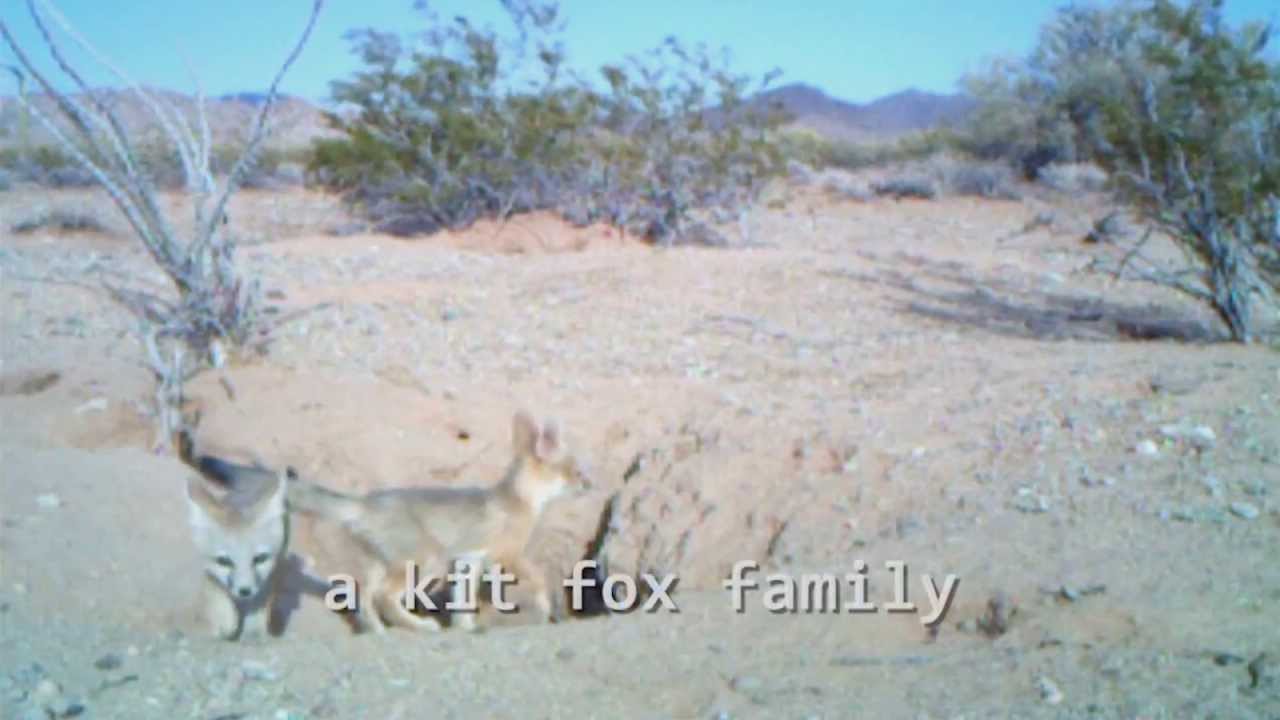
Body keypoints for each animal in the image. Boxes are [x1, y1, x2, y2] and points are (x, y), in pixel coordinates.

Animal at [176, 430, 292, 641]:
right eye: (224, 561)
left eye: (259, 559)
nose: (244, 591)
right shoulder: (210, 573)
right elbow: (219, 601)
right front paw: (226, 623)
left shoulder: (267, 575)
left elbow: (259, 605)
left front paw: (253, 632)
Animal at [286, 410, 589, 633]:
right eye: (577, 472)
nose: (590, 485)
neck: (521, 498)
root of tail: (365, 502)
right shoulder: (506, 556)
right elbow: (539, 578)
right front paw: (544, 605)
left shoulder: (469, 561)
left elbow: (463, 600)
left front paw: (465, 627)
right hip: (423, 563)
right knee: (384, 596)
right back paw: (420, 626)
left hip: (384, 565)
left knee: (363, 597)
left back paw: (378, 631)